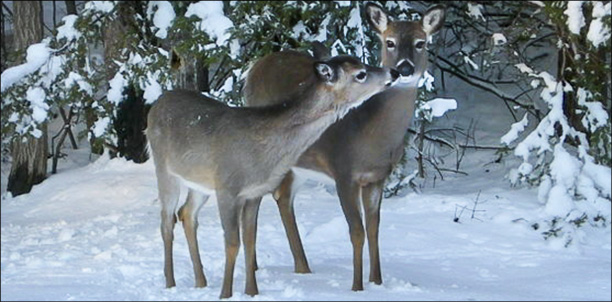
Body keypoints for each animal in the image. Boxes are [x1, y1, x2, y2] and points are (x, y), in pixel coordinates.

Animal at [146, 53, 400, 298]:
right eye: (361, 74)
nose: (394, 72)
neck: (263, 153)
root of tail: (156, 105)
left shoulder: (254, 192)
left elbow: (250, 239)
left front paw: (251, 292)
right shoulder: (227, 187)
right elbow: (232, 242)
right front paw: (225, 295)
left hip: (199, 183)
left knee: (186, 214)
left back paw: (201, 281)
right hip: (163, 168)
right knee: (166, 221)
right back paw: (170, 283)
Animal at [241, 1, 448, 292]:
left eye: (421, 42)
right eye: (390, 42)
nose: (404, 69)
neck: (369, 134)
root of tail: (253, 68)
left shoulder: (377, 178)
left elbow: (374, 228)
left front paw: (377, 281)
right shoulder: (343, 170)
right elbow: (357, 231)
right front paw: (357, 287)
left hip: (299, 163)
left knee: (283, 197)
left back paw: (302, 268)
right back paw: (259, 267)